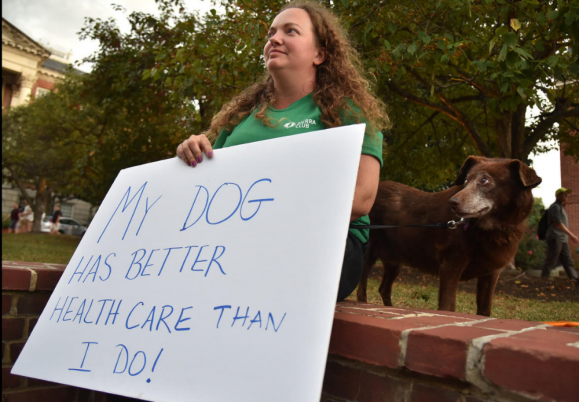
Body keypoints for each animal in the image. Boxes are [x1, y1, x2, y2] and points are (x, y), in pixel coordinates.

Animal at [358, 155, 544, 316]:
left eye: (484, 180)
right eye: (466, 181)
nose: (452, 203)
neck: (491, 229)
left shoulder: (491, 274)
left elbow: (484, 310)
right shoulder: (451, 265)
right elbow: (448, 306)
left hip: (395, 260)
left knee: (384, 288)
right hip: (369, 252)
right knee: (362, 288)